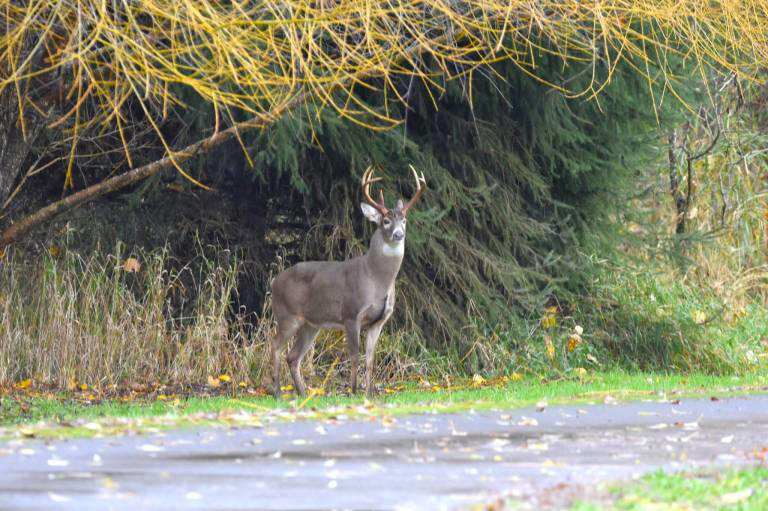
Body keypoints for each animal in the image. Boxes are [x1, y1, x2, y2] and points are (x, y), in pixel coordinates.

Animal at [269, 166, 426, 399]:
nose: (399, 234)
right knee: (275, 346)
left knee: (293, 356)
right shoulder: (351, 314)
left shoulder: (379, 322)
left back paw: (303, 394)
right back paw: (278, 393)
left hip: (311, 324)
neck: (376, 279)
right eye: (386, 221)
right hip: (287, 315)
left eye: (404, 220)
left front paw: (369, 394)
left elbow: (370, 359)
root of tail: (273, 282)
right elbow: (354, 355)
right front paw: (353, 391)